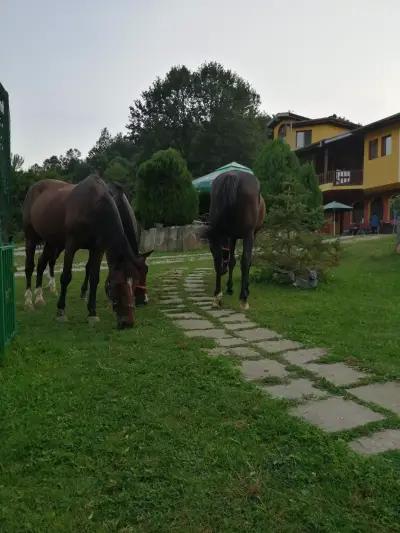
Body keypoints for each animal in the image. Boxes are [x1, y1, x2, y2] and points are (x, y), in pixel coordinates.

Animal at [21, 174, 144, 328]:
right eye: (118, 283)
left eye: (136, 281)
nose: (128, 322)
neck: (93, 206)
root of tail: (33, 187)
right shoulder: (71, 246)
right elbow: (66, 277)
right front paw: (61, 311)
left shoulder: (97, 249)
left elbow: (94, 277)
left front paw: (92, 313)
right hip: (31, 238)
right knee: (29, 267)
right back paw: (28, 301)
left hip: (51, 241)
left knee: (42, 263)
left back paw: (39, 297)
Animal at [206, 168, 266, 310]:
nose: (223, 271)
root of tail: (232, 175)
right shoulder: (251, 235)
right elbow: (247, 262)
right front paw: (245, 288)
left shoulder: (232, 237)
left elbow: (231, 261)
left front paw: (229, 287)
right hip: (248, 235)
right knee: (245, 261)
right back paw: (243, 299)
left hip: (218, 234)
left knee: (218, 259)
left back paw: (217, 296)